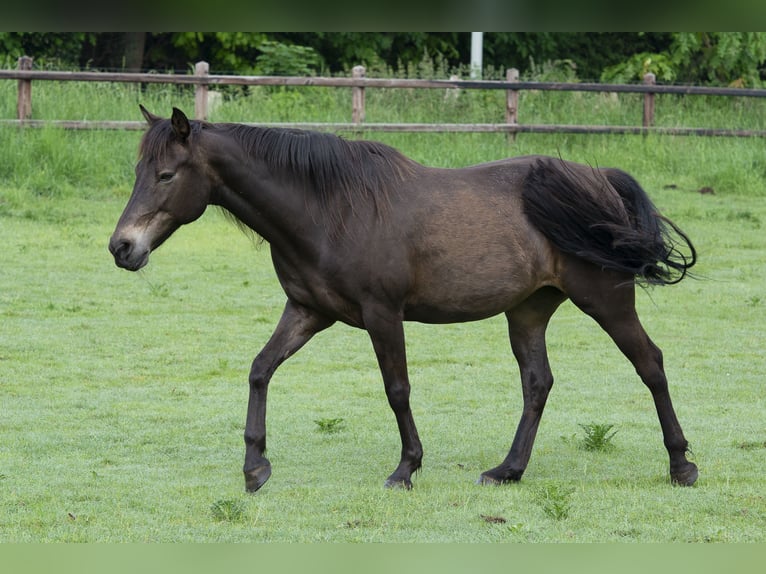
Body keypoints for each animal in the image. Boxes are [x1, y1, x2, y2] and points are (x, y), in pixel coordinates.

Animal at [109, 106, 699, 492]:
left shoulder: (382, 315)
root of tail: (601, 181)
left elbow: (397, 390)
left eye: (166, 174)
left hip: (606, 300)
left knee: (651, 365)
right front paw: (255, 466)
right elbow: (260, 369)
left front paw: (406, 468)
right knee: (538, 384)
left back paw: (681, 466)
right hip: (528, 310)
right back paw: (507, 470)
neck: (329, 210)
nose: (122, 248)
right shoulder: (308, 312)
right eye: (139, 171)